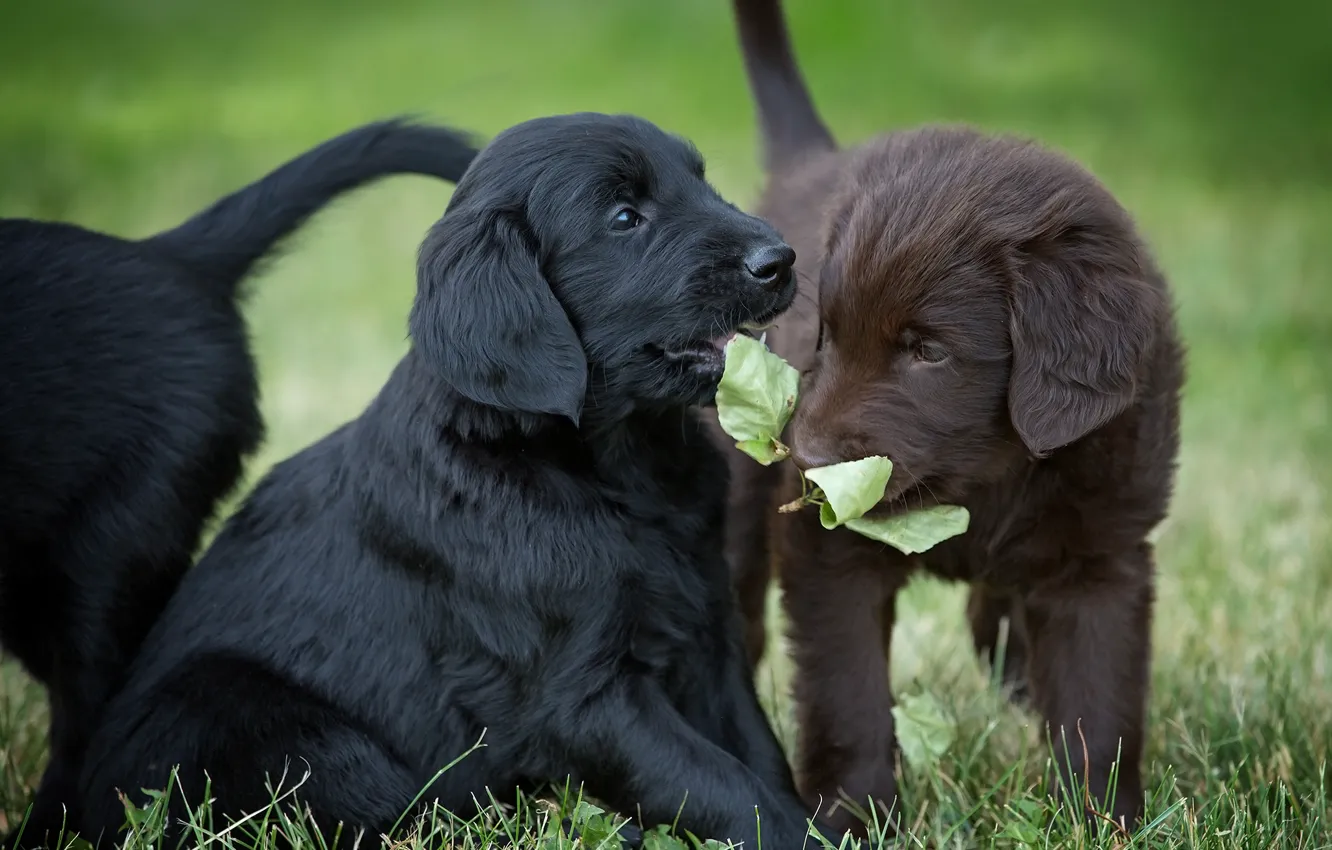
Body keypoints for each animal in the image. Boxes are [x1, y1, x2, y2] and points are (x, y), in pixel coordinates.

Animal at [75, 113, 831, 850]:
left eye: (701, 182)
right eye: (624, 218)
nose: (783, 258)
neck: (609, 469)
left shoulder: (708, 633)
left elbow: (758, 757)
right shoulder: (576, 696)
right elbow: (729, 790)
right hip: (251, 712)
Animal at [719, 0, 1188, 842]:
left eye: (928, 352)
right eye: (827, 335)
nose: (807, 461)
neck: (991, 477)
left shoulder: (1103, 552)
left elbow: (1098, 705)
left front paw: (1098, 820)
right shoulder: (830, 554)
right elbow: (847, 694)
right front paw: (851, 816)